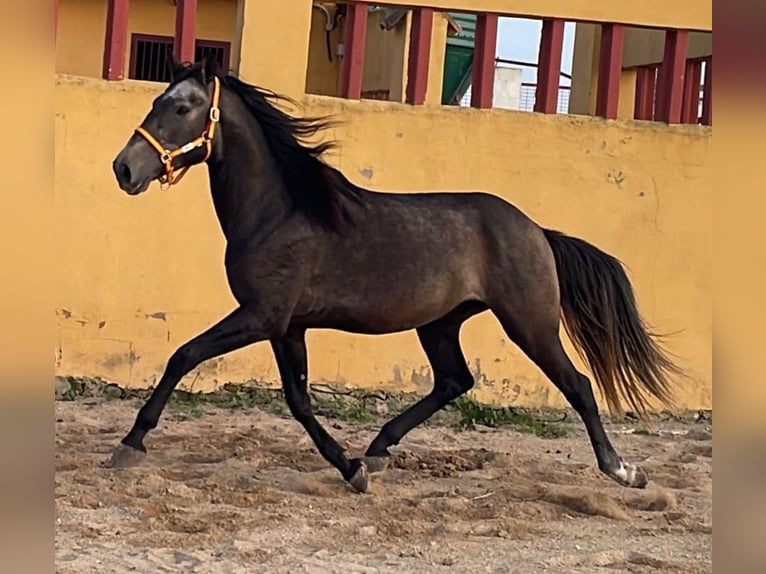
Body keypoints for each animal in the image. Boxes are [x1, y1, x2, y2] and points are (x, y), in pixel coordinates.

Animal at [108, 58, 684, 496]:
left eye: (182, 107)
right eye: (158, 101)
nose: (124, 169)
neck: (281, 211)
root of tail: (537, 230)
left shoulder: (261, 316)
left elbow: (184, 355)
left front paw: (129, 445)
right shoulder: (287, 326)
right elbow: (298, 400)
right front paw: (352, 468)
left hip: (530, 322)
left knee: (577, 385)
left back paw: (623, 470)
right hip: (441, 323)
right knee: (455, 380)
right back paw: (379, 448)